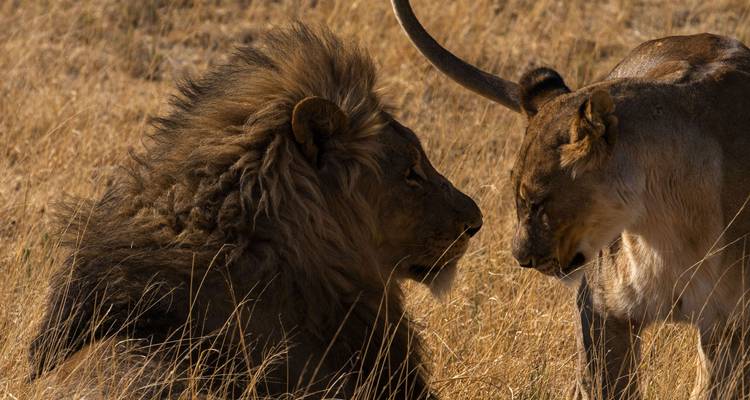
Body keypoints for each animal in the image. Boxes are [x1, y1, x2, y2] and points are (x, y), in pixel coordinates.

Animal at [391, 1, 750, 399]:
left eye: (537, 202)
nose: (521, 260)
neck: (664, 223)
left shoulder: (731, 326)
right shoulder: (601, 310)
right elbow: (607, 383)